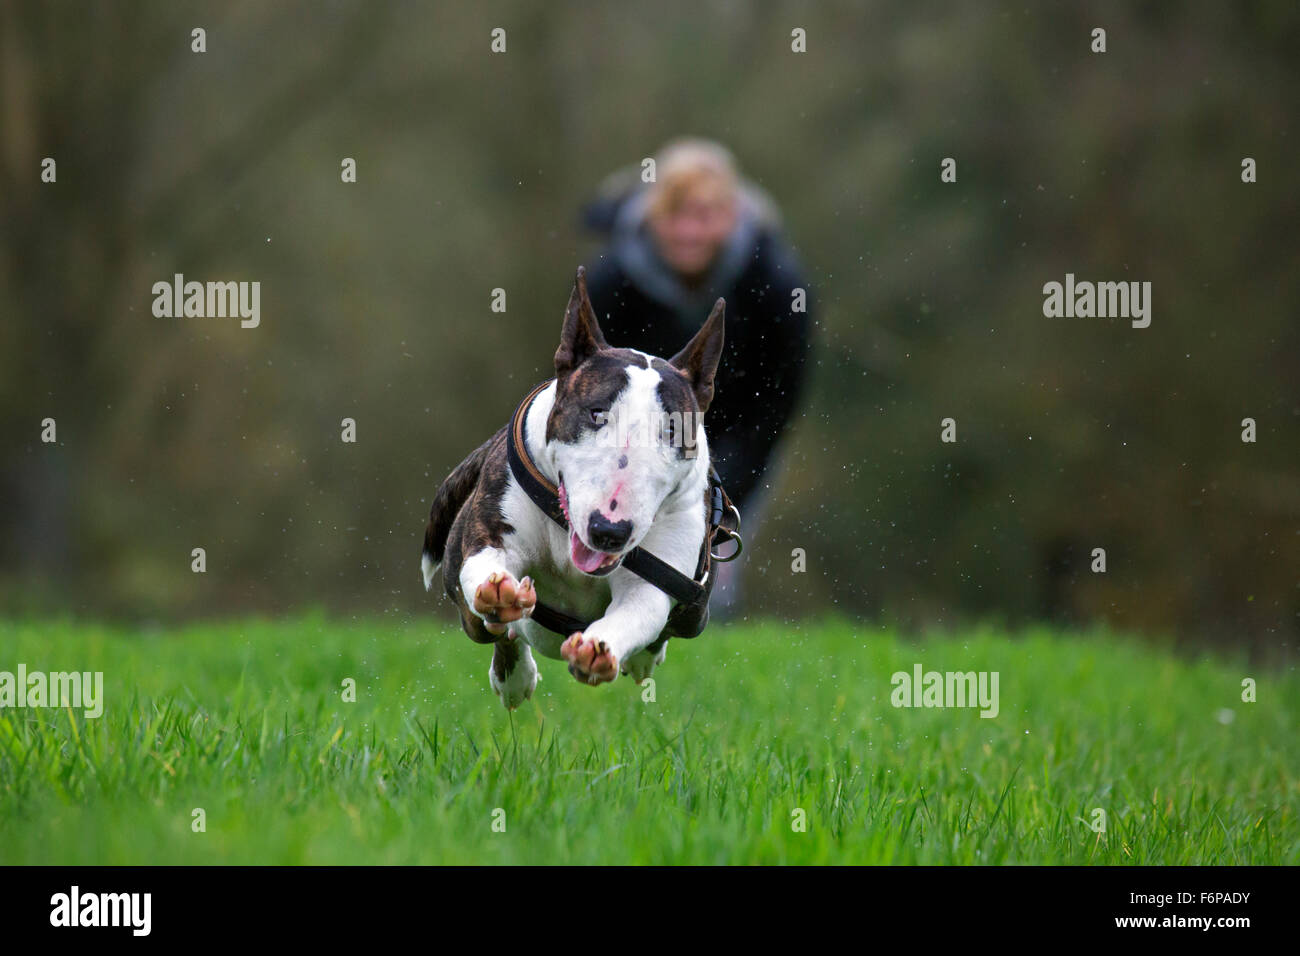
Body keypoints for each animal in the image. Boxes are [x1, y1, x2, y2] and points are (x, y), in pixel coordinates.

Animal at [423, 265, 733, 707]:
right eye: (596, 412)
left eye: (672, 430)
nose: (609, 531)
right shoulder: (491, 534)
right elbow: (484, 564)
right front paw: (499, 593)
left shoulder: (657, 578)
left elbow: (640, 609)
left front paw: (596, 649)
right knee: (492, 628)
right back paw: (512, 672)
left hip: (696, 609)